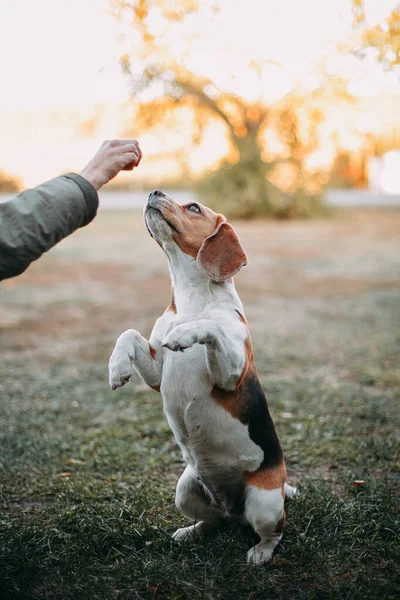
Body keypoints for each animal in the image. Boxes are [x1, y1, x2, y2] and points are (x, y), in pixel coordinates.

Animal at [108, 190, 296, 564]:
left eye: (193, 207)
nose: (154, 192)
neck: (191, 299)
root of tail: (235, 508)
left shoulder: (231, 374)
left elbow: (210, 327)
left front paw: (187, 333)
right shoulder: (157, 373)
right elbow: (129, 333)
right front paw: (117, 366)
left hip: (265, 503)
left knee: (274, 531)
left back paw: (261, 552)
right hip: (185, 490)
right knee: (215, 520)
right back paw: (192, 531)